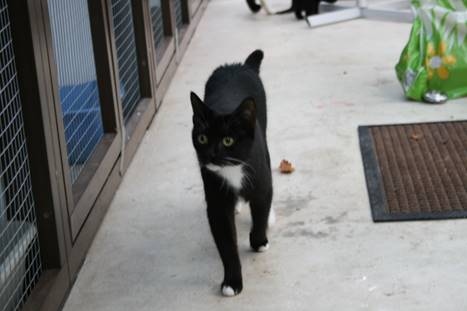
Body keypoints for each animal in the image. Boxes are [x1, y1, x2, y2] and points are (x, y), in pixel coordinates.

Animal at [190, 49, 274, 298]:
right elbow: (226, 242)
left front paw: (259, 242)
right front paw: (232, 281)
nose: (211, 154)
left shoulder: (260, 180)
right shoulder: (215, 199)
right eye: (202, 138)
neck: (232, 169)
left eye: (228, 140)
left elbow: (261, 211)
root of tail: (238, 65)